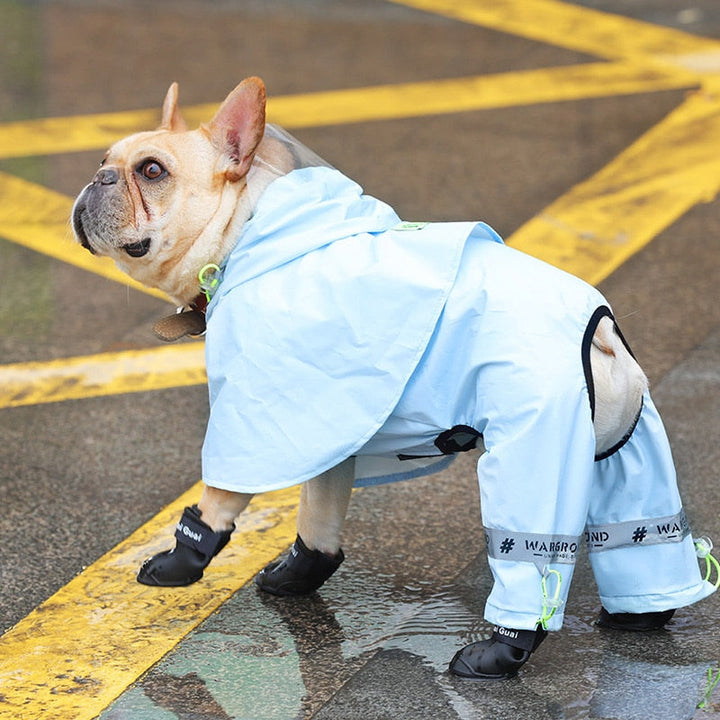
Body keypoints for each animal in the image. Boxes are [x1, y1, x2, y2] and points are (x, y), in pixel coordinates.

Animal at [70, 79, 712, 680]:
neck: (246, 227)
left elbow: (220, 497)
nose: (98, 177)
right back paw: (643, 614)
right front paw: (298, 574)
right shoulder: (324, 420)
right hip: (624, 452)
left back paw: (500, 652)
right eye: (106, 158)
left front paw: (181, 562)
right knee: (638, 521)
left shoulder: (254, 413)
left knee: (533, 553)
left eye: (152, 171)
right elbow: (319, 511)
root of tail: (598, 333)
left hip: (537, 451)